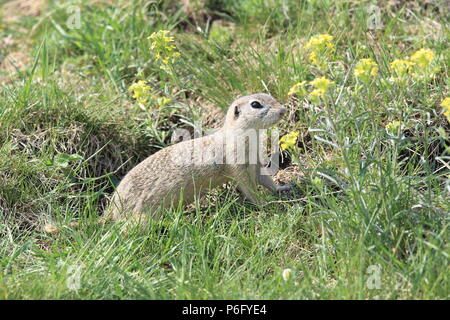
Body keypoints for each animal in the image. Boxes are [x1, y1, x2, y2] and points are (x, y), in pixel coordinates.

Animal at [105, 92, 292, 222]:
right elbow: (248, 187)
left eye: (270, 95)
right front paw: (265, 204)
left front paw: (282, 187)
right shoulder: (238, 164)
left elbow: (265, 179)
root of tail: (113, 206)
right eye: (255, 104)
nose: (283, 110)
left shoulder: (255, 162)